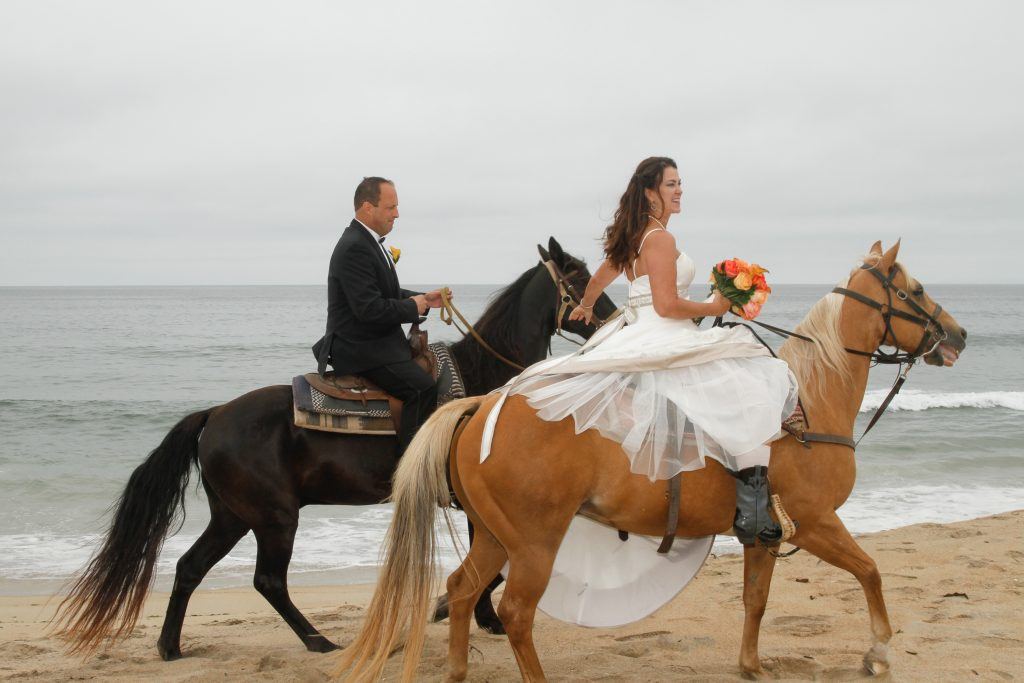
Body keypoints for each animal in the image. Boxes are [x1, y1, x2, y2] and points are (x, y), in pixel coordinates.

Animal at [49, 237, 614, 659]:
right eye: (581, 279)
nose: (611, 321)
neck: (485, 381)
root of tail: (215, 414)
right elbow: (490, 568)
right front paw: (457, 611)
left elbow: (490, 569)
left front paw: (474, 615)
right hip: (274, 516)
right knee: (268, 581)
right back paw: (317, 640)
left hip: (233, 515)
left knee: (190, 567)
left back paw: (170, 646)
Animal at [337, 240, 966, 679]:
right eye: (915, 290)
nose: (957, 335)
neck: (806, 403)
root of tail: (484, 404)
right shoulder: (815, 523)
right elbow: (870, 571)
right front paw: (879, 650)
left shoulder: (764, 534)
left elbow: (756, 601)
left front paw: (751, 665)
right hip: (533, 544)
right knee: (514, 610)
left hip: (495, 535)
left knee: (466, 589)